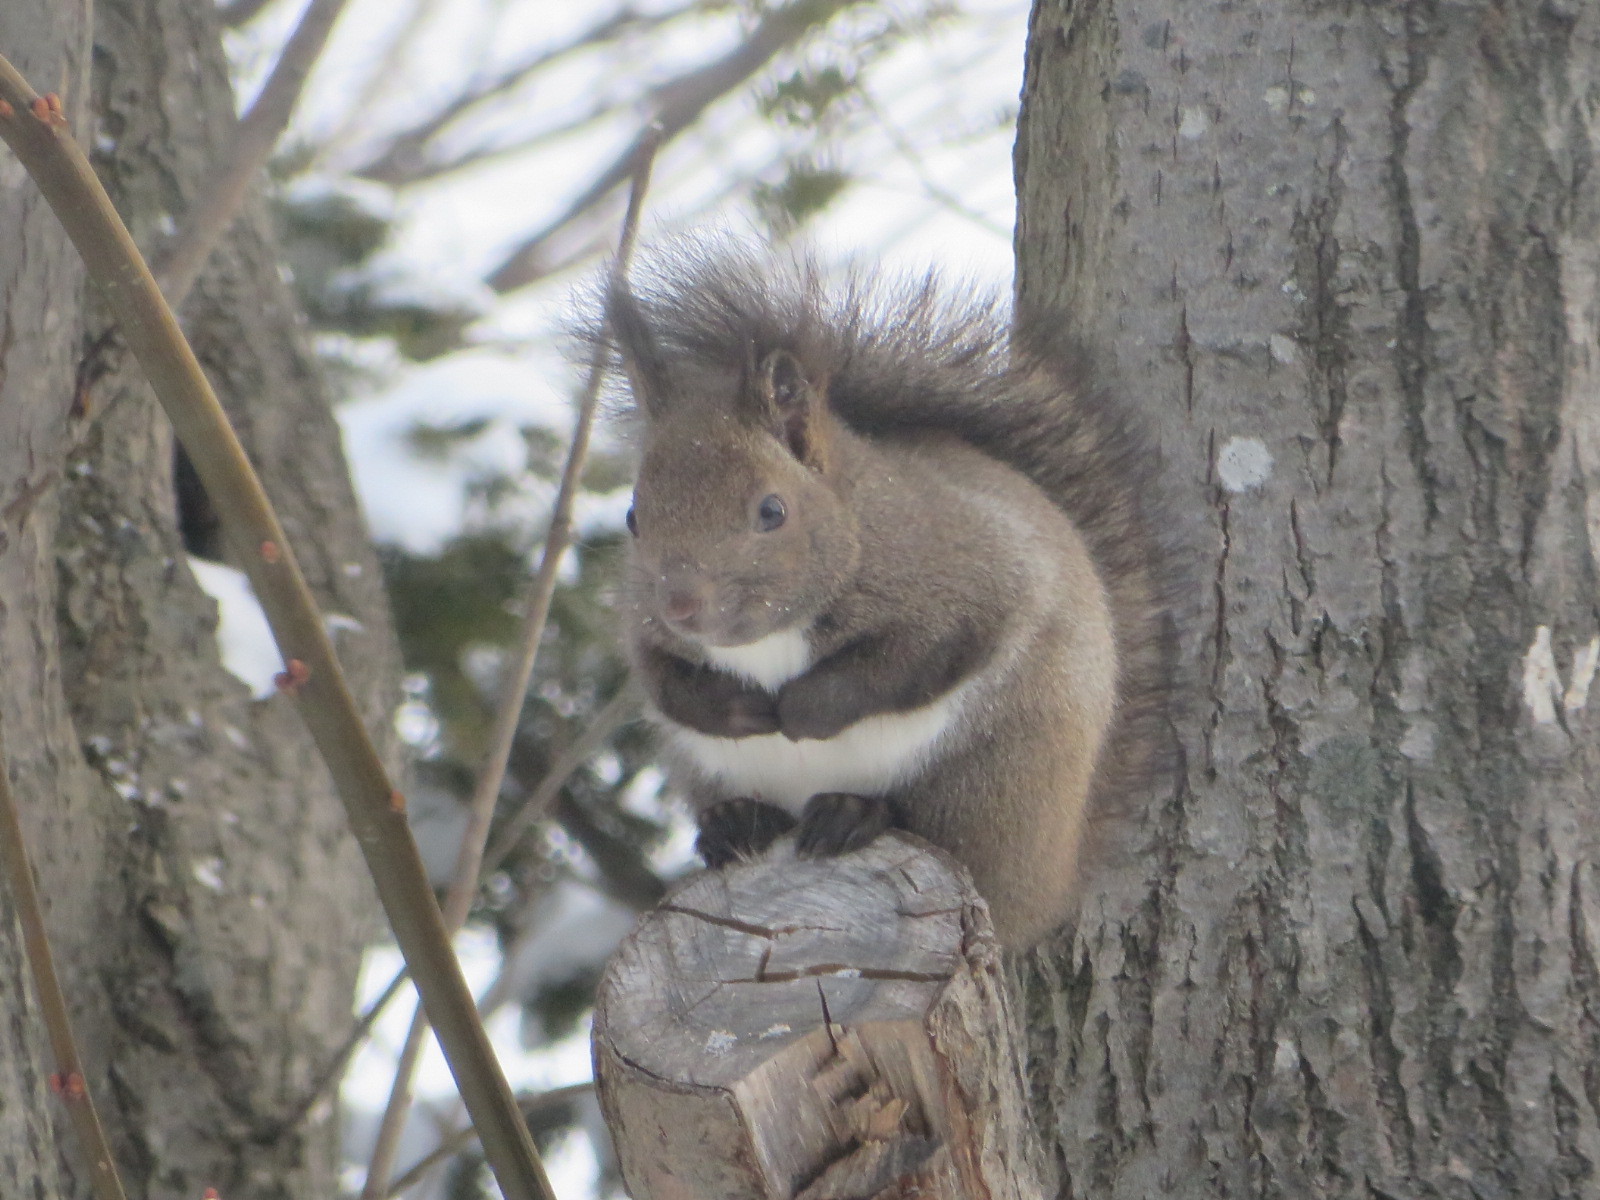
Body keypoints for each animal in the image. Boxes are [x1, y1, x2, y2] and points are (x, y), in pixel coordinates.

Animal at [601, 244, 1177, 947]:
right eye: (633, 517)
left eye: (772, 511)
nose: (682, 606)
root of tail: (1055, 881)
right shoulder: (642, 627)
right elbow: (663, 682)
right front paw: (737, 709)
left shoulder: (976, 581)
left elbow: (906, 664)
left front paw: (797, 710)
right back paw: (736, 823)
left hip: (997, 778)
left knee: (946, 833)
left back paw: (855, 814)